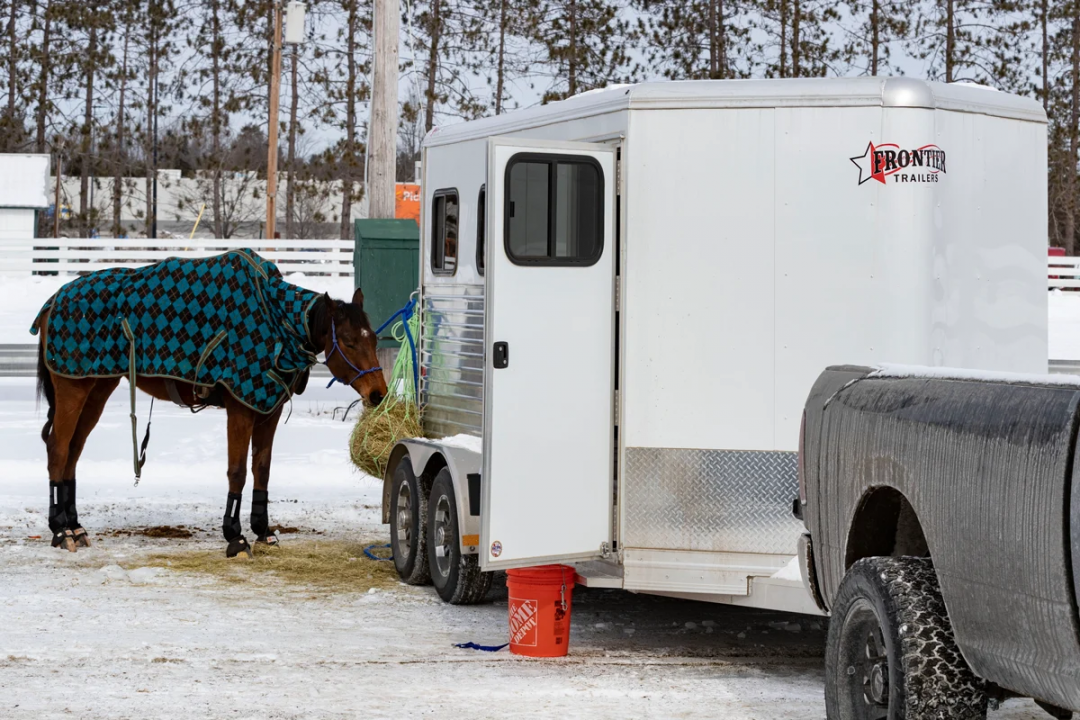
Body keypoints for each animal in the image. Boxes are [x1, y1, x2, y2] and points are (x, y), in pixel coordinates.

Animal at [33, 253, 387, 558]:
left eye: (373, 339)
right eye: (349, 342)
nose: (378, 394)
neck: (275, 320)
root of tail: (54, 300)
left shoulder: (267, 411)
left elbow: (262, 468)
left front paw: (262, 530)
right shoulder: (241, 409)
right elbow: (238, 472)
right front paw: (235, 535)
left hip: (97, 388)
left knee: (73, 450)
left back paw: (74, 526)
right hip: (73, 390)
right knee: (58, 448)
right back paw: (59, 530)